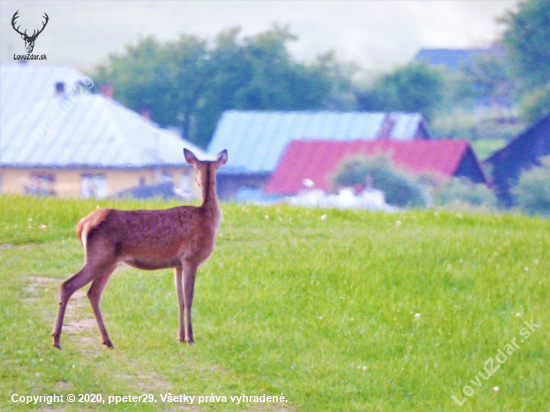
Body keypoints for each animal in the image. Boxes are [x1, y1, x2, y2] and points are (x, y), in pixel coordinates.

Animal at [52, 148, 229, 348]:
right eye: (195, 170)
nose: (196, 182)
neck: (207, 218)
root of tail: (81, 225)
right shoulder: (191, 258)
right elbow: (189, 297)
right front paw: (190, 338)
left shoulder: (178, 264)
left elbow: (180, 299)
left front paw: (180, 337)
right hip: (99, 257)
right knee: (68, 285)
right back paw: (56, 339)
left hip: (109, 261)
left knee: (93, 293)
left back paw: (107, 341)